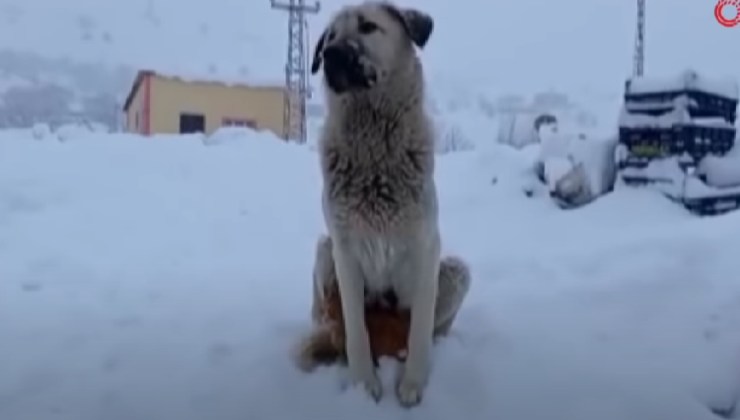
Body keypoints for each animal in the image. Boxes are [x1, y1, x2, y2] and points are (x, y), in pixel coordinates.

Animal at [298, 0, 472, 406]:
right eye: (329, 36)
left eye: (368, 26)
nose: (330, 55)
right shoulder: (344, 250)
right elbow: (356, 329)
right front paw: (365, 386)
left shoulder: (426, 248)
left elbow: (420, 328)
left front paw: (412, 385)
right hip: (324, 249)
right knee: (322, 313)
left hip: (457, 270)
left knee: (435, 326)